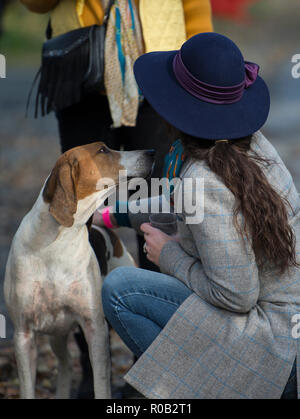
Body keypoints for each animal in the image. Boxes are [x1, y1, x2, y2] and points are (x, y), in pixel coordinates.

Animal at [4, 142, 155, 400]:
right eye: (103, 150)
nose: (151, 153)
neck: (59, 241)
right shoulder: (23, 335)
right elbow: (27, 389)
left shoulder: (95, 328)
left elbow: (102, 384)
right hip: (55, 333)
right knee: (65, 364)